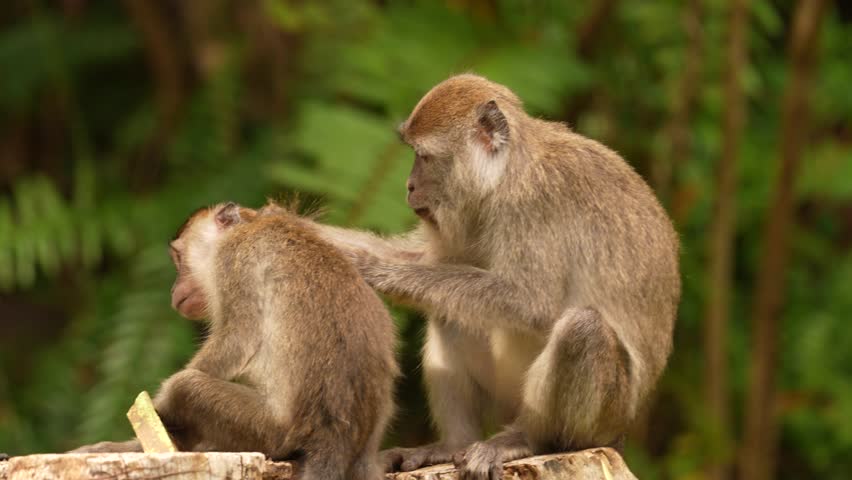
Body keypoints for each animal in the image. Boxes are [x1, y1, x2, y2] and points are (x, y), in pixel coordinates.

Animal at [71, 202, 398, 480]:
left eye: (179, 258)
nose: (174, 289)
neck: (250, 225)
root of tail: (334, 438)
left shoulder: (233, 257)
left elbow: (238, 338)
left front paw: (155, 410)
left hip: (268, 432)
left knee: (186, 386)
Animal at [310, 74, 681, 480]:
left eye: (424, 156)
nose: (409, 186)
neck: (507, 172)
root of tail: (622, 430)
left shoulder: (532, 206)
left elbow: (530, 304)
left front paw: (370, 267)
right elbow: (430, 260)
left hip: (604, 416)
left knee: (582, 330)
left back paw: (527, 439)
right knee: (450, 312)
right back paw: (452, 444)